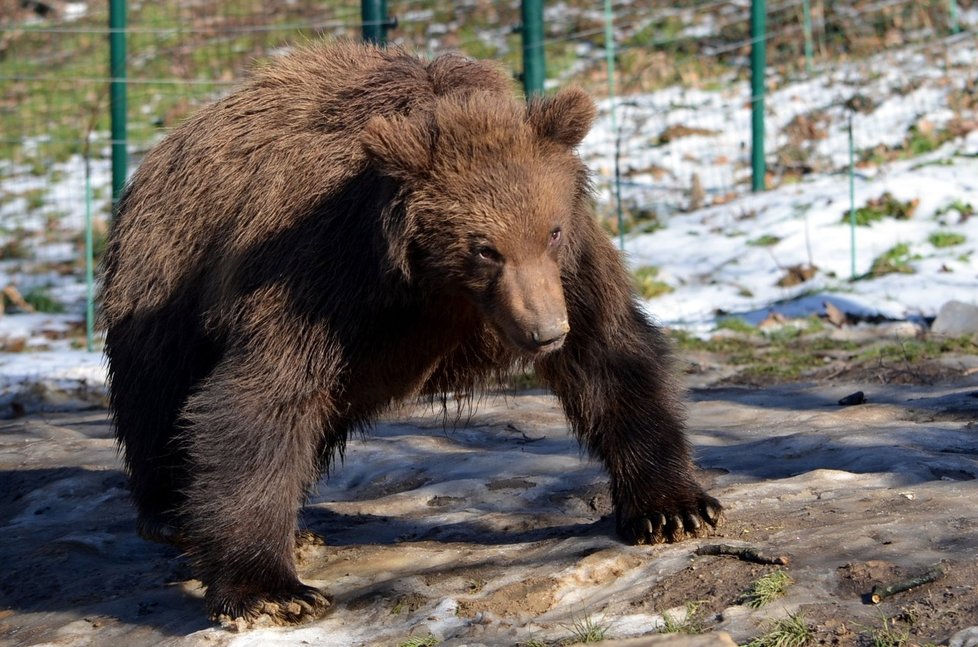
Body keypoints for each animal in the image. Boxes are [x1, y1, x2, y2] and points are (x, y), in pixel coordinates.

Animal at [99, 41, 720, 628]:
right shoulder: (326, 273)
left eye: (551, 230)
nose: (546, 331)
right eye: (484, 248)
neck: (436, 288)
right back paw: (175, 517)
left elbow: (610, 355)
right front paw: (272, 592)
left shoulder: (571, 270)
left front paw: (674, 509)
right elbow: (262, 398)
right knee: (159, 396)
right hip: (165, 275)